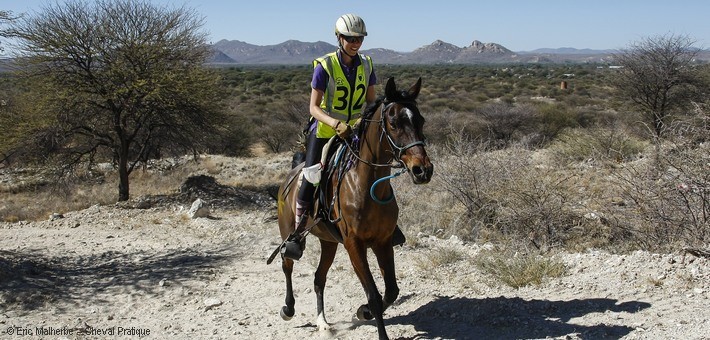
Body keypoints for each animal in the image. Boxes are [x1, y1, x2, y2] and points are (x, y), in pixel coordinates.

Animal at [272, 77, 432, 340]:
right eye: (393, 123)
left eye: (420, 120)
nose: (423, 170)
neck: (366, 185)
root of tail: (291, 174)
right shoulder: (354, 244)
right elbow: (374, 295)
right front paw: (376, 324)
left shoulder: (383, 241)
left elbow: (391, 291)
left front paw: (363, 311)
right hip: (288, 232)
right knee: (287, 264)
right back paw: (288, 308)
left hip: (328, 242)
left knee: (319, 278)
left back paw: (323, 323)